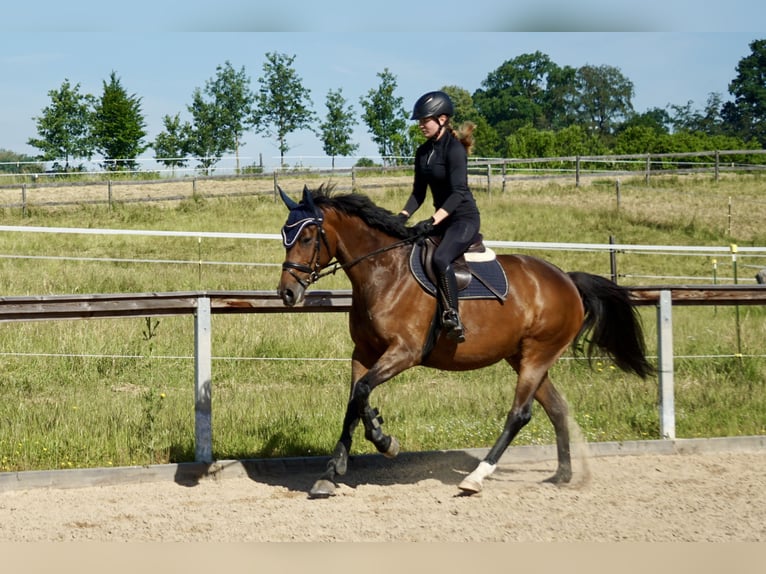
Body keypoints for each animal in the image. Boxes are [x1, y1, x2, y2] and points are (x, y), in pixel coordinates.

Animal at [277, 184, 653, 499]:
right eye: (284, 235)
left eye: (307, 237)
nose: (287, 293)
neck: (384, 271)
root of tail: (567, 280)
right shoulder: (365, 353)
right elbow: (355, 400)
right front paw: (333, 470)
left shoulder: (404, 352)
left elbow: (363, 391)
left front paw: (384, 441)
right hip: (524, 356)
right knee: (557, 408)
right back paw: (562, 475)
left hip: (538, 354)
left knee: (520, 413)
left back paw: (476, 478)